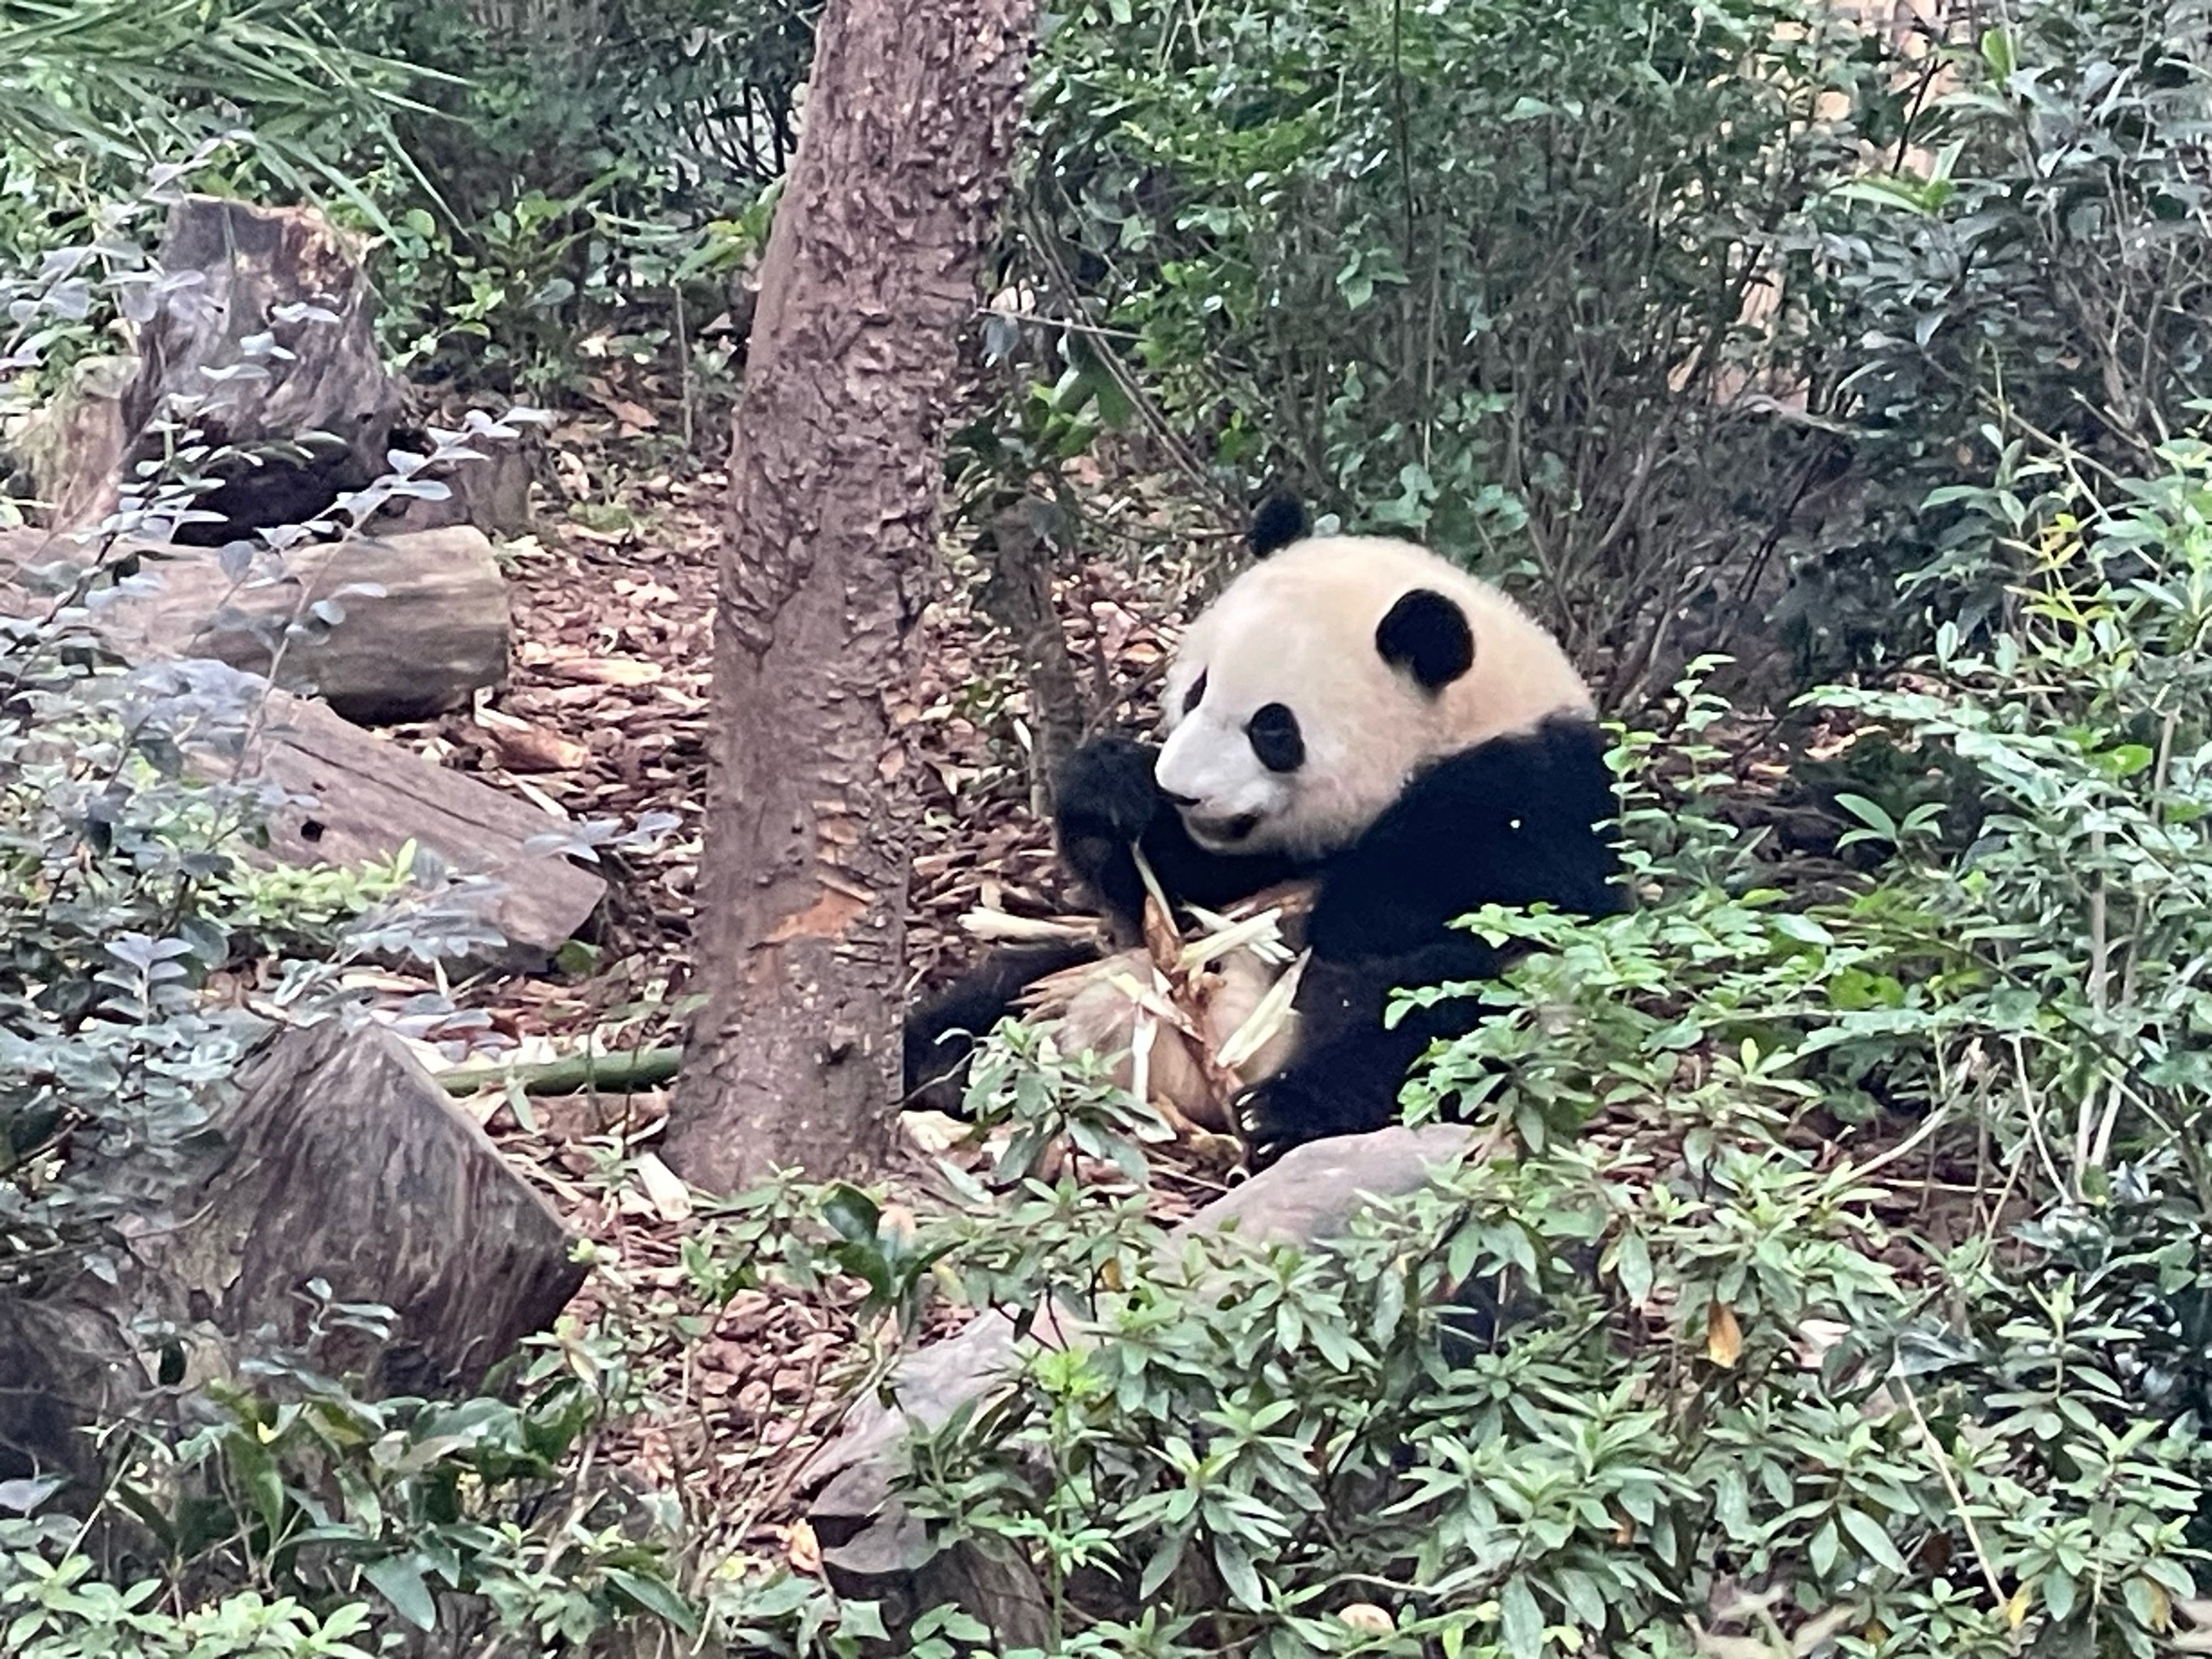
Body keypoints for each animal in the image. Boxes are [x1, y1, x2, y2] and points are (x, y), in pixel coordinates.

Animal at [902, 497, 1628, 1167]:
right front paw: (1110, 788)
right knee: (999, 992)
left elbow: (1451, 899)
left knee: (1437, 1023)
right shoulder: (1237, 864)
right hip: (1077, 975)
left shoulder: (1536, 793)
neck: (1467, 720)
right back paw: (934, 1062)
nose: (1179, 789)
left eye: (1273, 728)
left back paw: (1283, 1110)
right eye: (1195, 690)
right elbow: (1182, 893)